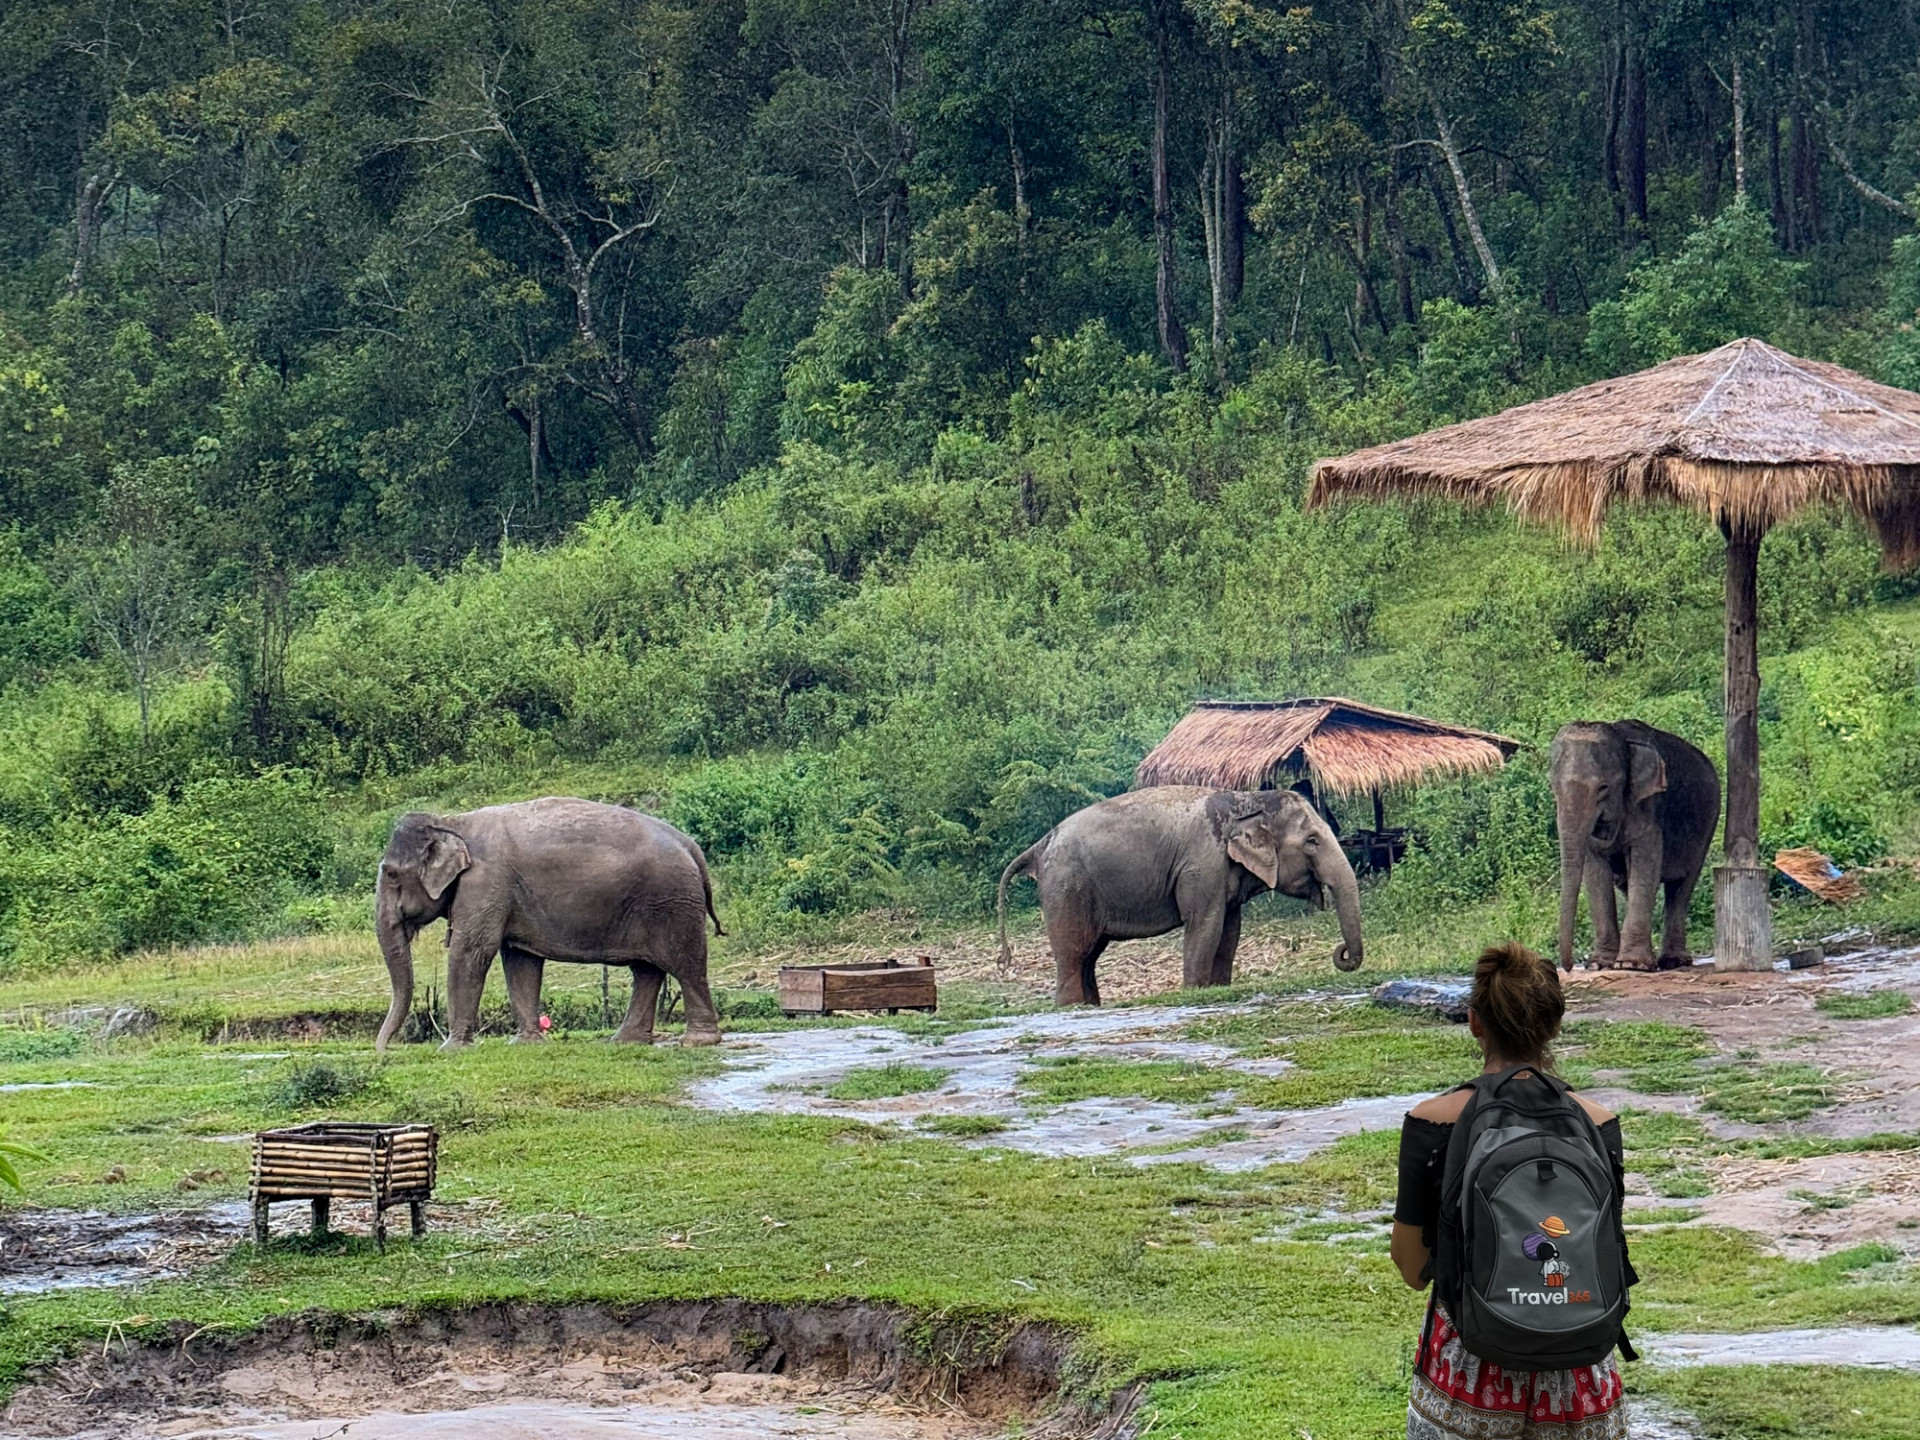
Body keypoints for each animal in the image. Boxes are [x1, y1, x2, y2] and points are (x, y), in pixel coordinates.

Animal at [374, 797, 725, 1051]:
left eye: (390, 873)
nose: (384, 1050)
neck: (452, 821)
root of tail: (692, 847)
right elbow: (520, 960)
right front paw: (525, 1043)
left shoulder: (486, 882)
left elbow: (472, 951)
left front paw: (452, 1050)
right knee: (646, 971)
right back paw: (624, 1041)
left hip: (672, 902)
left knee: (685, 965)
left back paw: (697, 1042)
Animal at [995, 787, 1363, 1006]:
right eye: (1312, 841)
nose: (1341, 953)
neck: (1246, 799)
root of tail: (1040, 845)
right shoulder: (1201, 865)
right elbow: (1205, 926)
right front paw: (1195, 991)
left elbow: (1230, 931)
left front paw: (1219, 989)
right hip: (1067, 887)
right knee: (1074, 952)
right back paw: (1073, 1007)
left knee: (1089, 953)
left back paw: (1090, 1005)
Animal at [1551, 720, 1721, 973]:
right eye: (1553, 786)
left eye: (1603, 787)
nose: (1570, 967)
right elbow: (1596, 873)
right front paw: (1600, 964)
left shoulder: (1648, 809)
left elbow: (1645, 865)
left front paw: (1631, 964)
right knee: (1629, 885)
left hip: (1708, 823)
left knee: (1681, 887)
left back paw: (1673, 961)